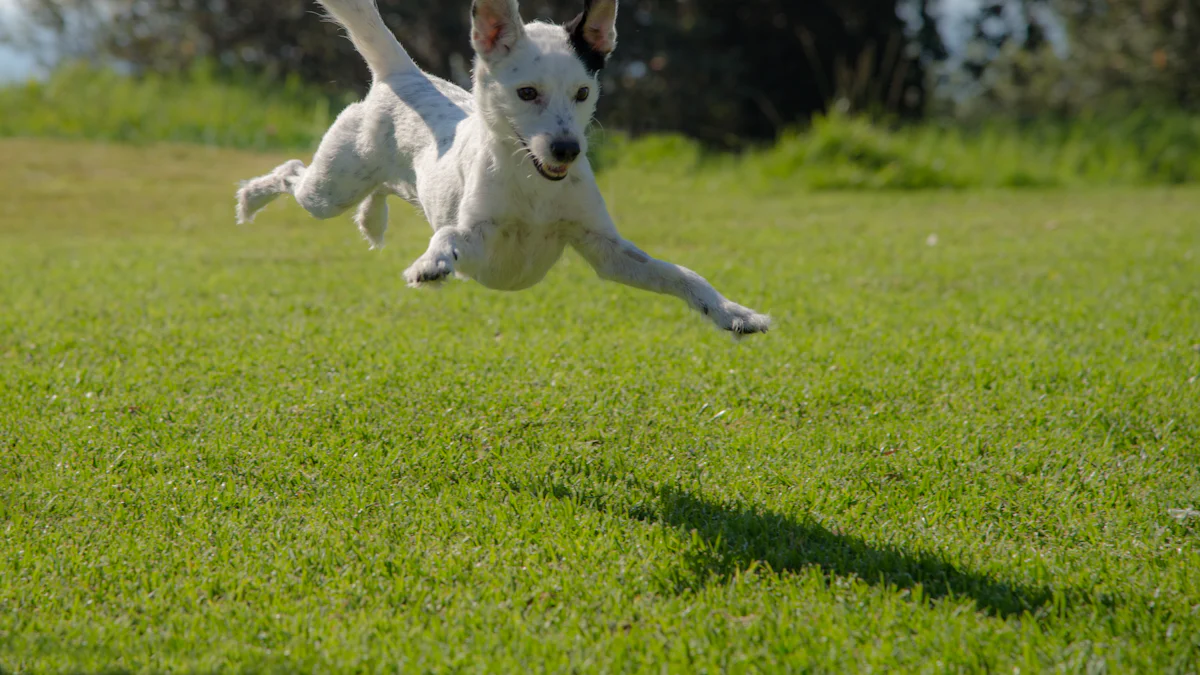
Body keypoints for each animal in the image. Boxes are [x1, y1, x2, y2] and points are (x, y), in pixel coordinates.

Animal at [238, 0, 772, 333]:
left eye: (583, 93)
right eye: (527, 93)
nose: (567, 149)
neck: (533, 185)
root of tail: (405, 75)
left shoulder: (608, 251)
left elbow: (683, 275)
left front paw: (733, 314)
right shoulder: (479, 241)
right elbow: (448, 237)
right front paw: (431, 263)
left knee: (382, 188)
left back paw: (372, 218)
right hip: (329, 188)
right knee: (291, 171)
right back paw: (250, 199)